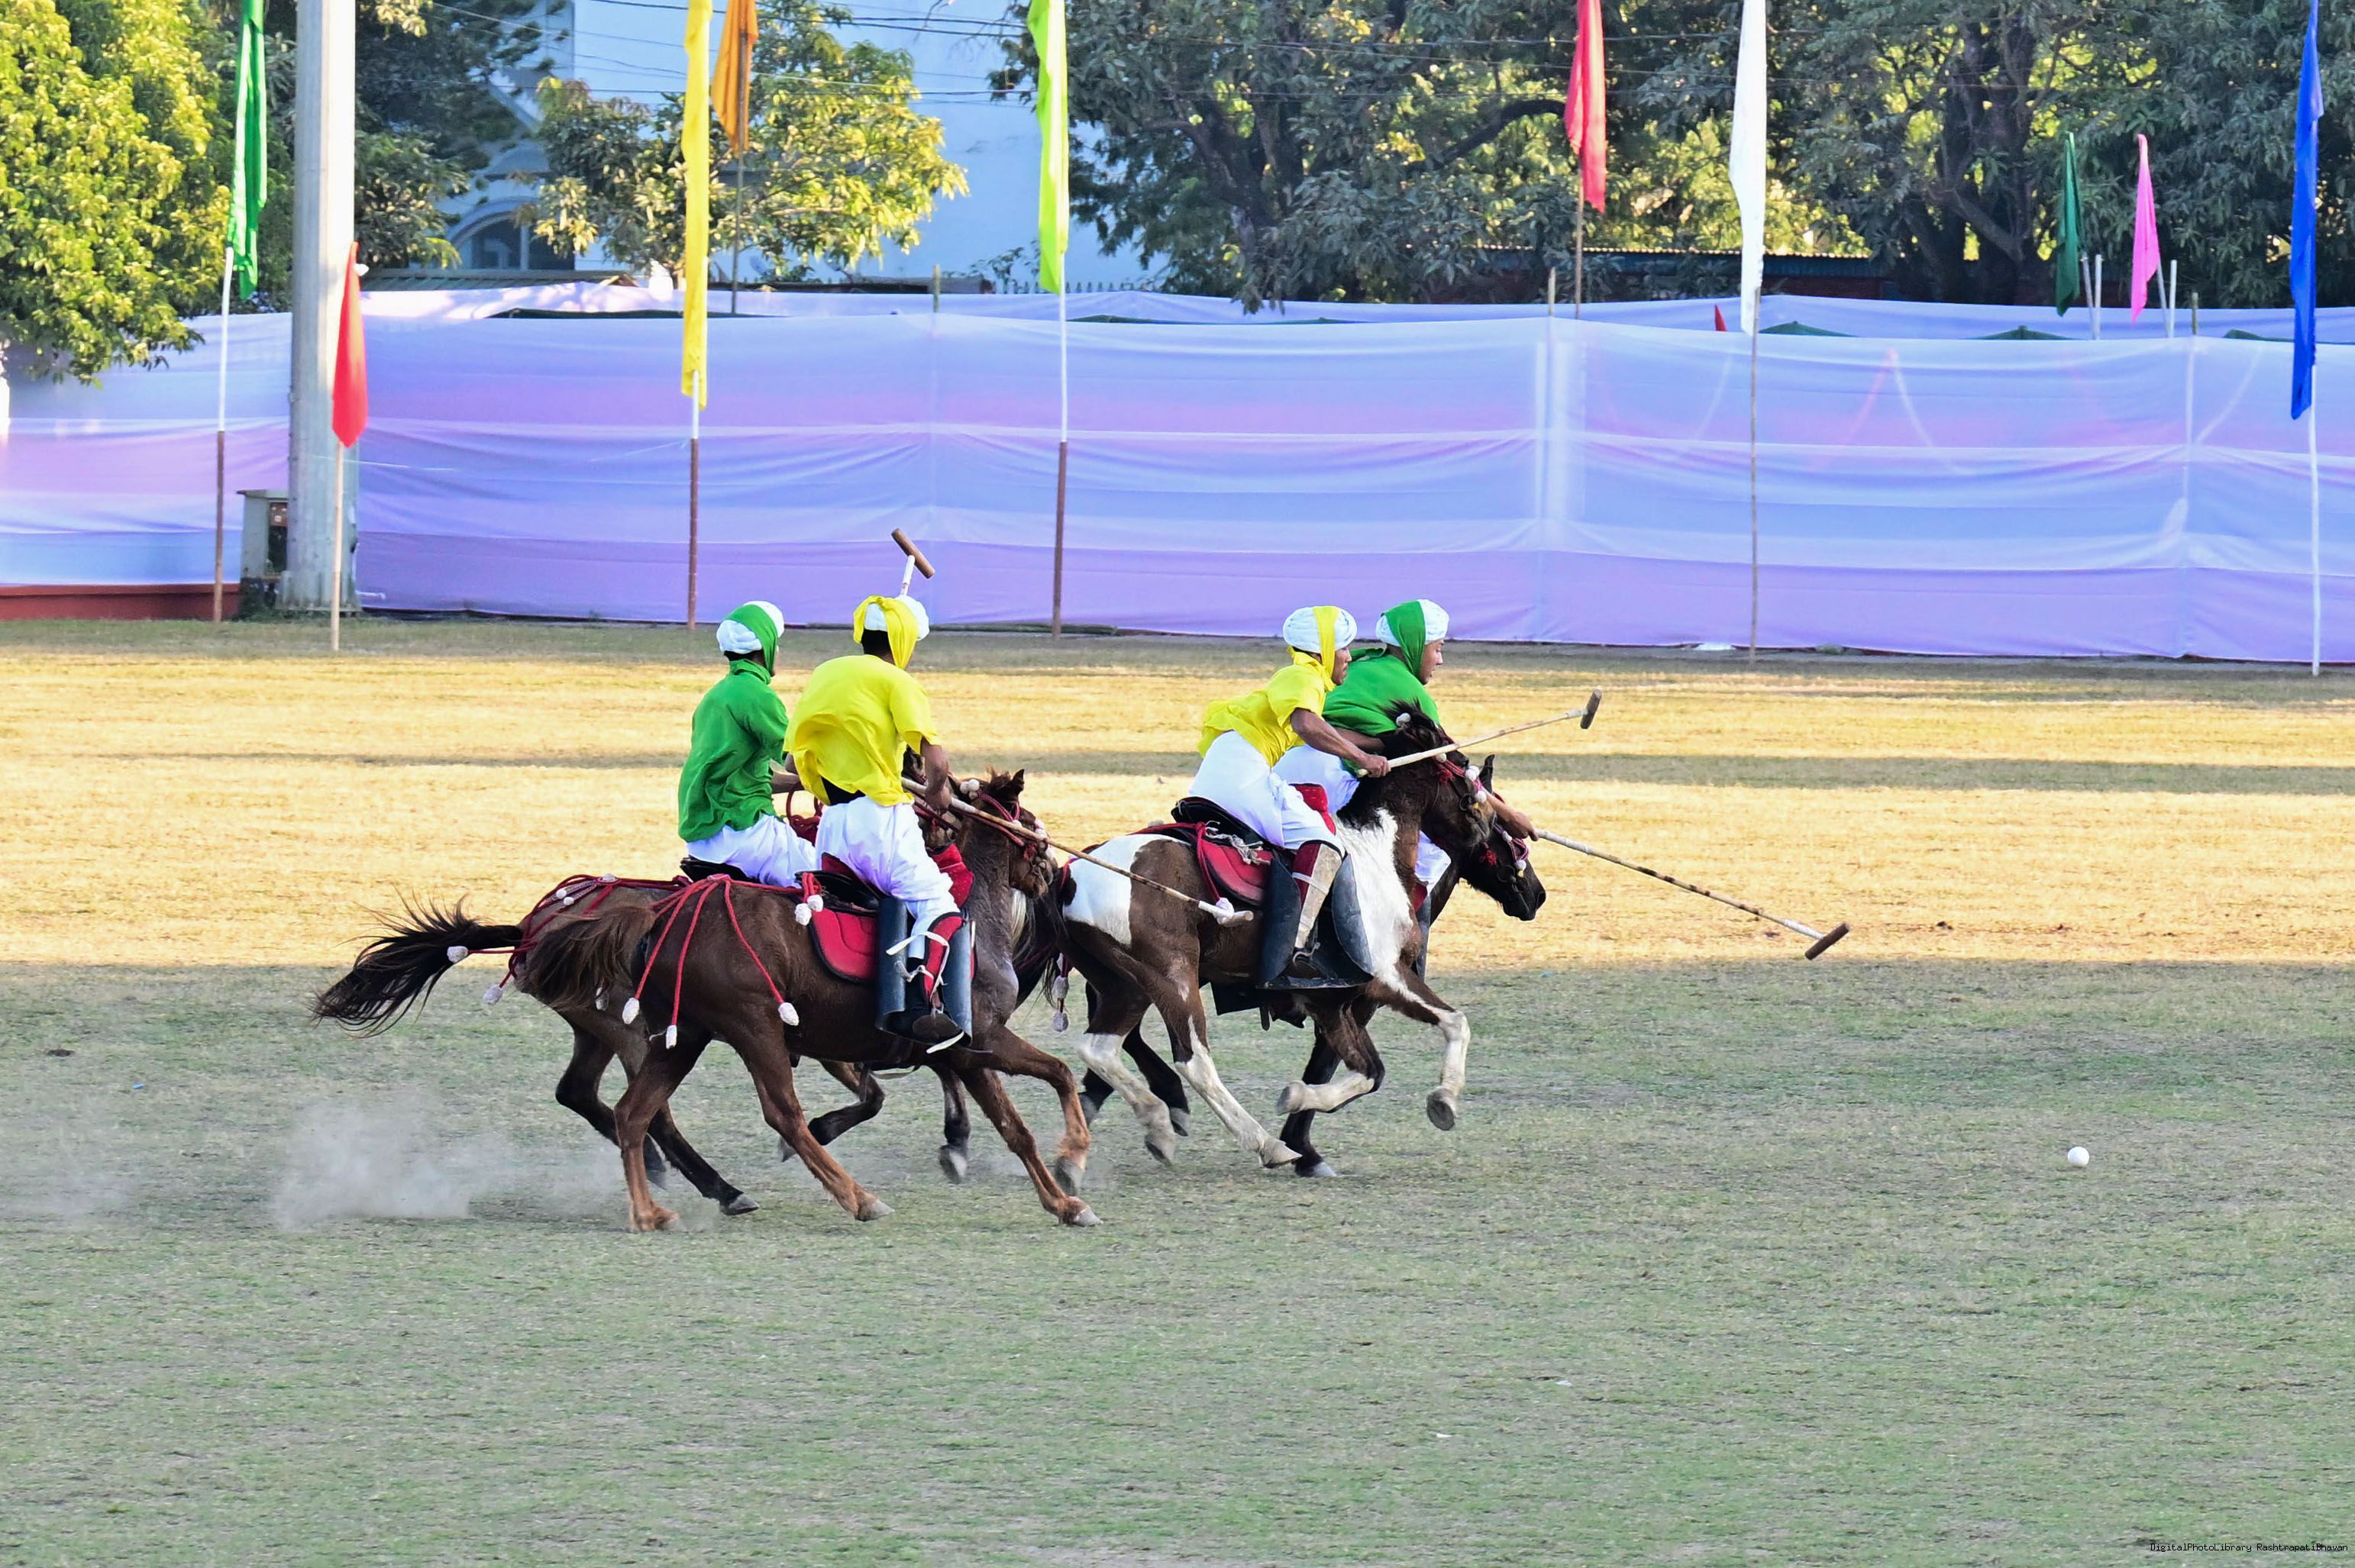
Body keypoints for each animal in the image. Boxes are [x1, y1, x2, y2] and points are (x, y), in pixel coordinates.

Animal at [1056, 710, 1545, 1173]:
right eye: (1462, 767)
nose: (1535, 893)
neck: (1374, 854)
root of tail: (1073, 873)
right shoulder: (1383, 977)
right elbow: (1453, 1024)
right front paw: (1443, 1099)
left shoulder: (1331, 1001)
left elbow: (1367, 1072)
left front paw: (1297, 1100)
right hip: (1171, 975)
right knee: (1193, 1061)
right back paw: (1262, 1143)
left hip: (1126, 984)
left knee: (1099, 1047)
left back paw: (1150, 1123)